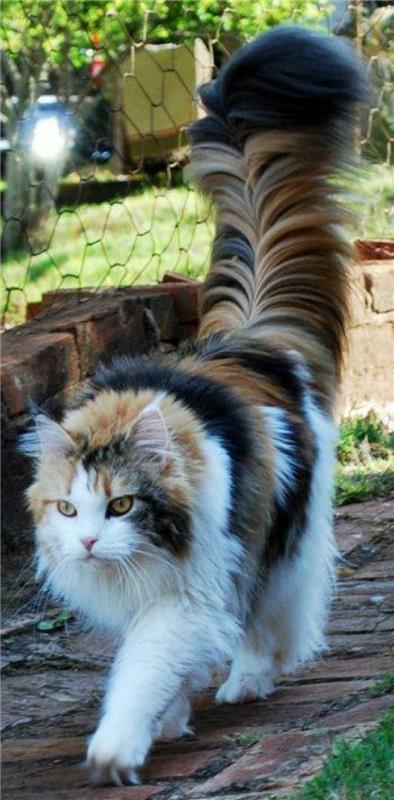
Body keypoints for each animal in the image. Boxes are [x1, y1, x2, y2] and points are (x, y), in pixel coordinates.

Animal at [20, 25, 366, 788]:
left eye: (122, 505)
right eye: (67, 511)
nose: (89, 544)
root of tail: (247, 340)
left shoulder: (187, 594)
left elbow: (142, 670)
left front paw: (117, 748)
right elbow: (159, 672)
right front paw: (169, 718)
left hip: (277, 535)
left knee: (273, 615)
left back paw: (249, 678)